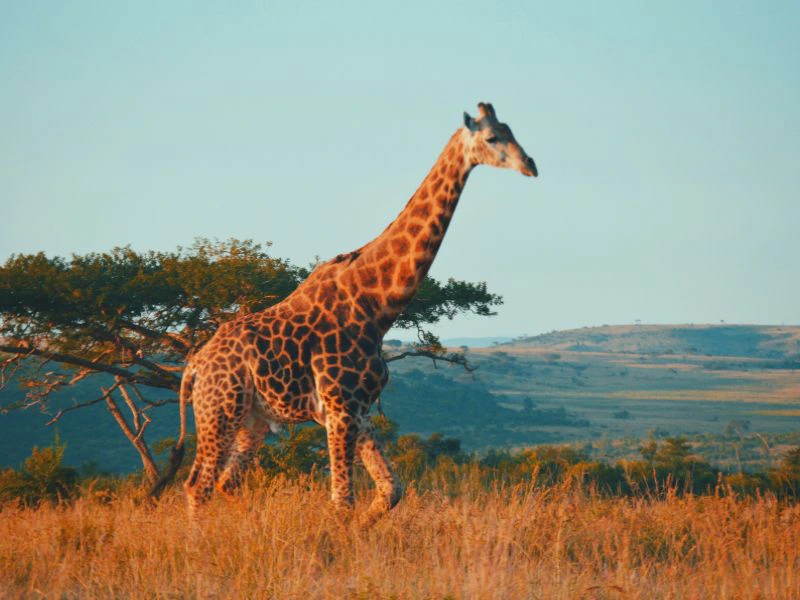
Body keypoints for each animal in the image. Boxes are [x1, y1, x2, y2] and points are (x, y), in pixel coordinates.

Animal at [154, 102, 537, 522]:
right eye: (492, 137)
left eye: (512, 130)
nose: (531, 165)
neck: (377, 305)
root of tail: (193, 367)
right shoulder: (339, 407)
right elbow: (343, 501)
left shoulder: (357, 409)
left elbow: (391, 490)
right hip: (219, 409)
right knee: (198, 484)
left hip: (252, 420)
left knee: (226, 482)